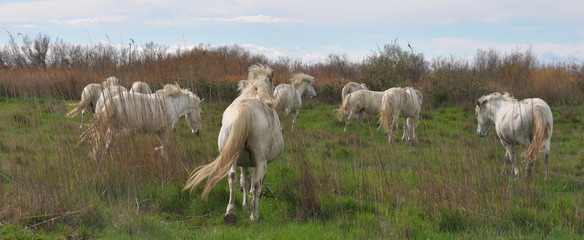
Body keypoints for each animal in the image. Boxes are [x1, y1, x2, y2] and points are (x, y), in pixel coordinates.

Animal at [182, 63, 282, 225]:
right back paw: (254, 216)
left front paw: (244, 206)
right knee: (256, 184)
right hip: (260, 158)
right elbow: (253, 183)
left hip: (232, 157)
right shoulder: (259, 162)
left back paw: (230, 213)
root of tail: (244, 110)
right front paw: (249, 206)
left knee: (232, 179)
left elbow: (244, 182)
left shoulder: (244, 162)